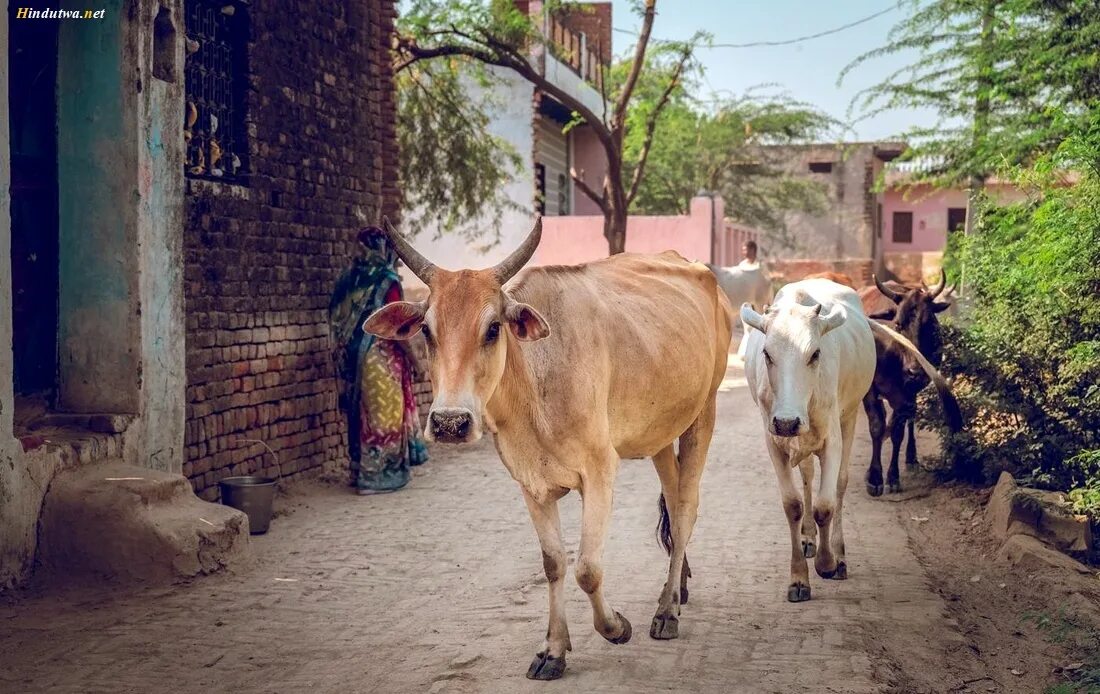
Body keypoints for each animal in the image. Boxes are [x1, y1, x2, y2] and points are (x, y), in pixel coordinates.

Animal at [365, 219, 734, 681]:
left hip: (704, 413)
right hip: (662, 433)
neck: (536, 385)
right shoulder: (531, 484)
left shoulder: (600, 473)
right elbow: (554, 563)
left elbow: (587, 570)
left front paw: (616, 627)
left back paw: (666, 611)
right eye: (427, 331)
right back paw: (678, 587)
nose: (450, 422)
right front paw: (553, 651)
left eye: (493, 328)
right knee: (672, 499)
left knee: (684, 511)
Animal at [743, 279, 950, 598]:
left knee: (840, 484)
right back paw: (808, 538)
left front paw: (828, 562)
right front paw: (798, 577)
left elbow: (826, 505)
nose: (788, 421)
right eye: (767, 354)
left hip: (850, 416)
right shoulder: (774, 440)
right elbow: (793, 505)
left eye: (815, 354)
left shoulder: (833, 439)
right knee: (807, 477)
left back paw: (838, 553)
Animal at [853, 271, 959, 494]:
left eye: (929, 325)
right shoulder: (870, 389)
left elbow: (897, 431)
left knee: (910, 419)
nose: (915, 371)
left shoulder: (907, 393)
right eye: (898, 324)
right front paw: (874, 478)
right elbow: (877, 426)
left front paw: (892, 476)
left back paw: (911, 456)